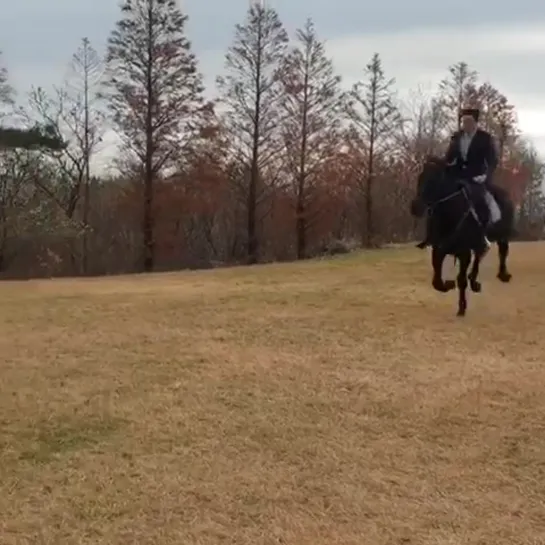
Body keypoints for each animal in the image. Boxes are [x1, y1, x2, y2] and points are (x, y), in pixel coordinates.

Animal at [408, 154, 516, 314]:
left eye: (435, 179)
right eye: (420, 177)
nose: (415, 207)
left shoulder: (464, 253)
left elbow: (461, 280)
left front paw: (462, 307)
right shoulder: (439, 250)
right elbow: (437, 282)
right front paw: (449, 284)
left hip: (501, 235)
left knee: (502, 251)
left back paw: (502, 275)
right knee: (480, 255)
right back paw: (474, 280)